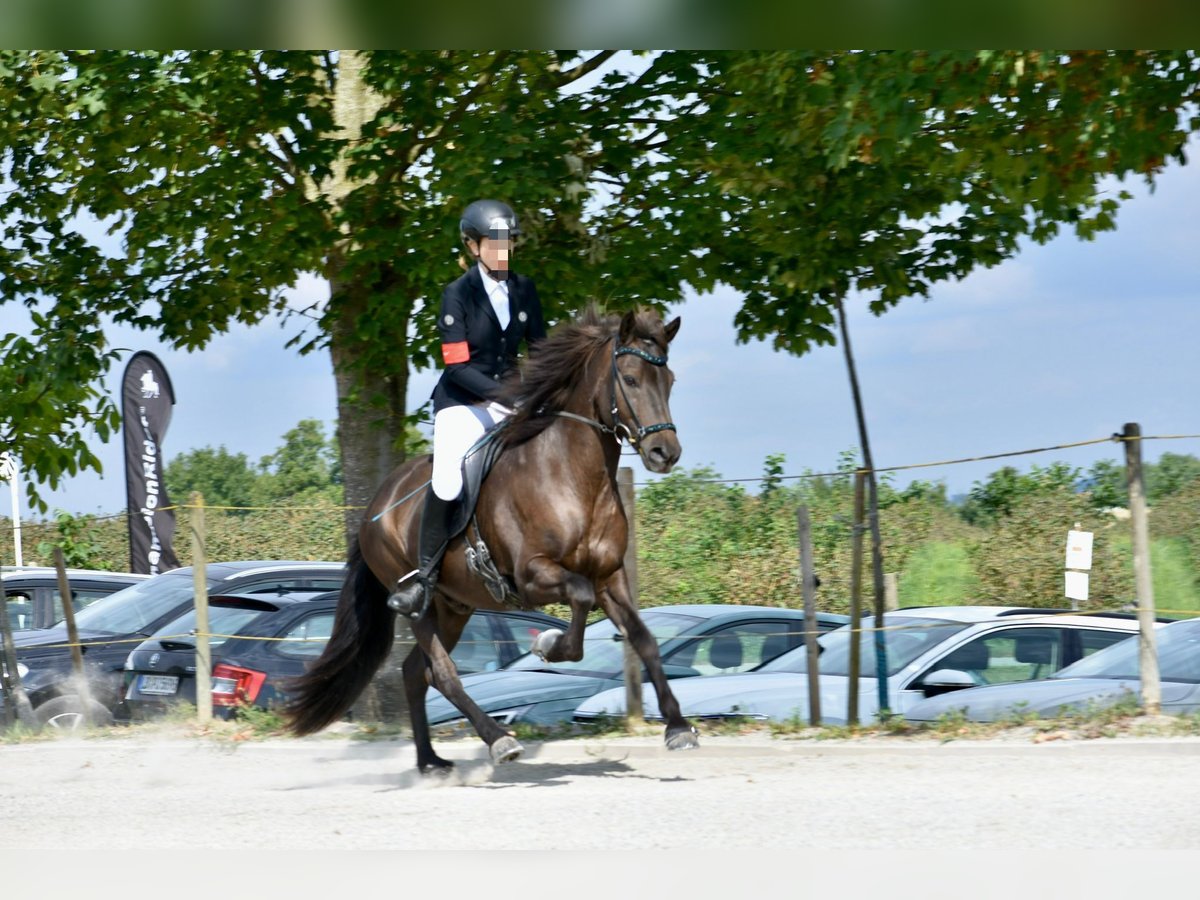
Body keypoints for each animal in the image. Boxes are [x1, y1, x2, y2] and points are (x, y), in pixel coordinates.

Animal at [282, 307, 700, 772]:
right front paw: (549, 646)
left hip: (454, 606)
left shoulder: (610, 577)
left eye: (670, 380)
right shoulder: (533, 576)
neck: (576, 477)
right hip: (415, 601)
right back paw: (498, 740)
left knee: (414, 672)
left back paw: (431, 761)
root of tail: (376, 504)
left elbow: (644, 639)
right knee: (440, 671)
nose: (665, 452)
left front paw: (678, 727)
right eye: (629, 378)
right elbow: (579, 598)